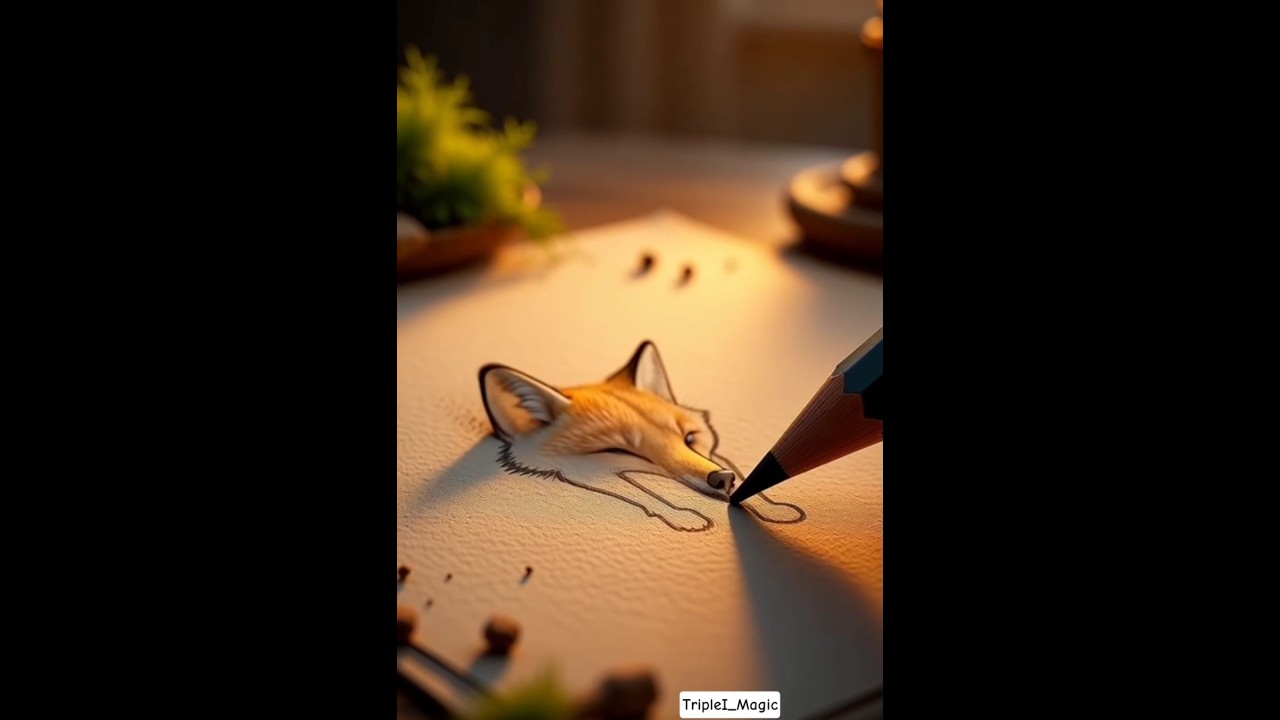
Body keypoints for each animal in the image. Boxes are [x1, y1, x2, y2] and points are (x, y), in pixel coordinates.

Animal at [479, 341, 804, 532]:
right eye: (620, 450)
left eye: (690, 438)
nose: (722, 479)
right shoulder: (584, 474)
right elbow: (646, 497)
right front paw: (683, 518)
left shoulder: (715, 453)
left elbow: (752, 481)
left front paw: (773, 510)